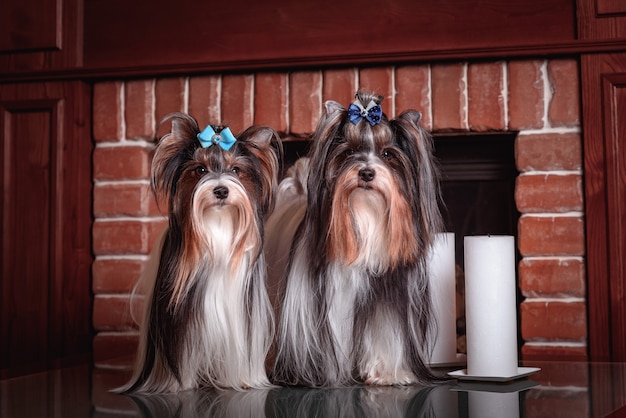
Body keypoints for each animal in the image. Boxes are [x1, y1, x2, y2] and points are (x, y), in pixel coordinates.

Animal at [264, 90, 444, 386]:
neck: (364, 218)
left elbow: (385, 328)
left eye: (387, 154)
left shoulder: (387, 292)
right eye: (348, 152)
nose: (367, 172)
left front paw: (387, 373)